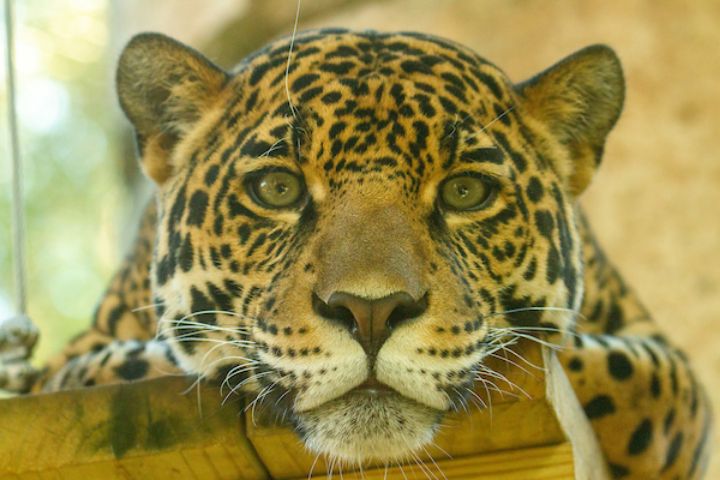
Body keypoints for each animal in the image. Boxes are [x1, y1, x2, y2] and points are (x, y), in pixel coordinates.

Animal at [29, 29, 712, 478]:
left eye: (466, 192)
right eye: (277, 188)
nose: (371, 312)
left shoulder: (666, 359)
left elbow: (604, 366)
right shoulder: (75, 353)